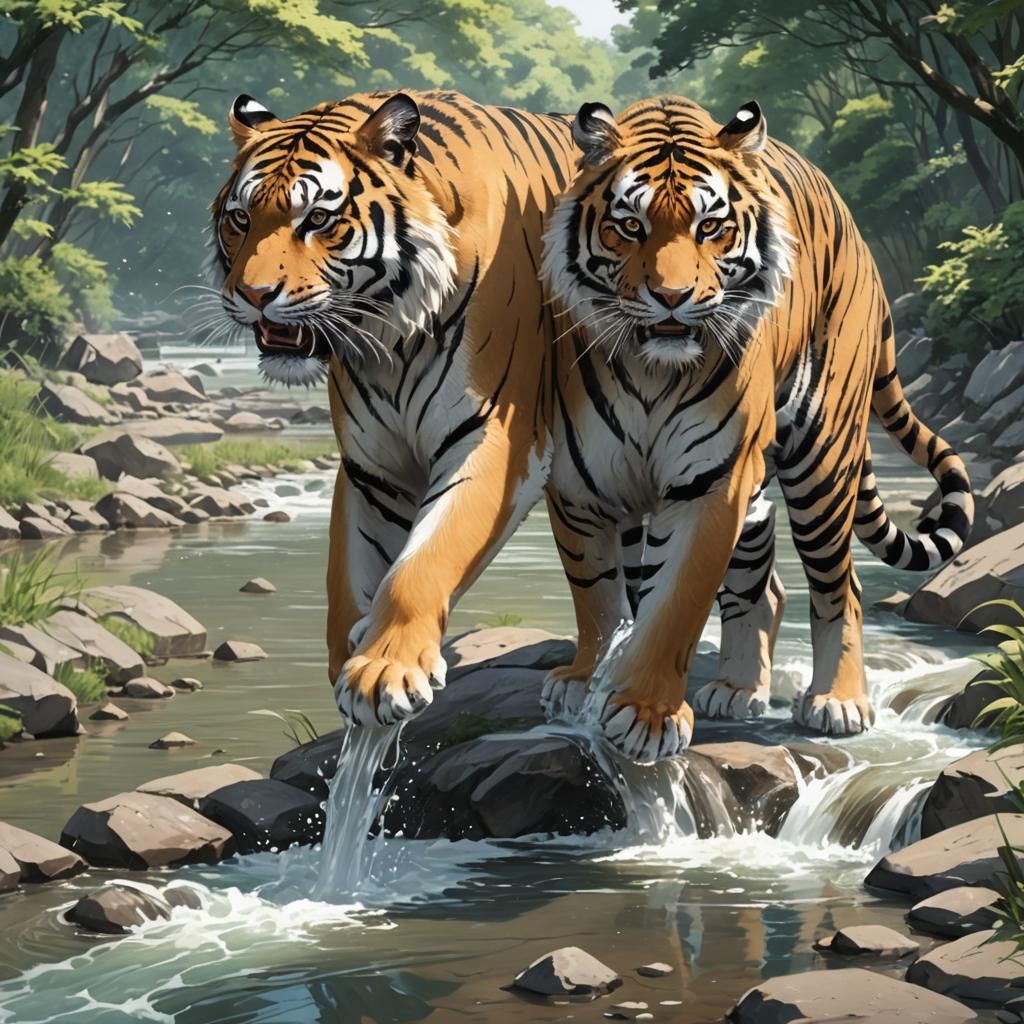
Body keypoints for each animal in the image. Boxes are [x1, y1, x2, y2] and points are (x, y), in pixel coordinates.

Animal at [211, 90, 581, 724]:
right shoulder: (374, 465)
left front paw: (386, 671)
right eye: (240, 219)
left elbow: (423, 560)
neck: (388, 337)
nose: (255, 296)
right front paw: (351, 665)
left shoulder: (494, 437)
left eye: (318, 220)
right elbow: (352, 574)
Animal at [540, 96, 974, 763]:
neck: (650, 370)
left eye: (709, 227)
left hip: (821, 462)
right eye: (630, 225)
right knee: (763, 590)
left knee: (840, 587)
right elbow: (598, 597)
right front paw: (586, 681)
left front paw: (645, 714)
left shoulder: (709, 487)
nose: (672, 297)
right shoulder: (576, 487)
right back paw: (738, 688)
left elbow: (675, 600)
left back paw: (838, 702)